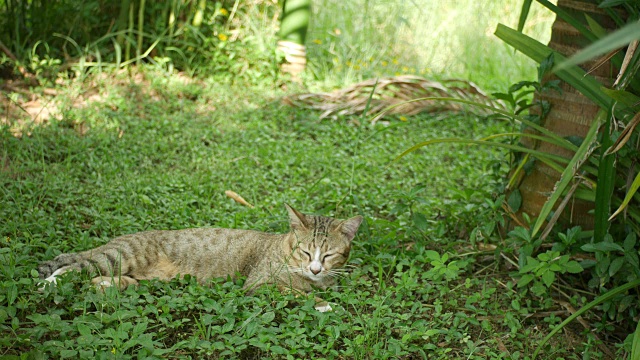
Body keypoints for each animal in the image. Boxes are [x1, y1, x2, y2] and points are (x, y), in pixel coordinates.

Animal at [37, 204, 362, 310]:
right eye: (306, 251)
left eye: (330, 254)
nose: (316, 269)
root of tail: (118, 238)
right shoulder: (258, 284)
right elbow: (294, 292)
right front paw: (323, 304)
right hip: (121, 256)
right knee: (75, 267)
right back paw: (49, 282)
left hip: (133, 279)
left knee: (100, 279)